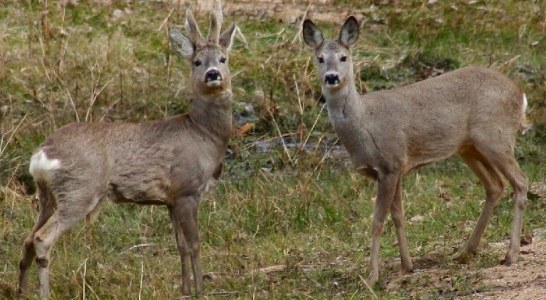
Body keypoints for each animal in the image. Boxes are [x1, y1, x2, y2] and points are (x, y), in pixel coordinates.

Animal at [17, 1, 236, 298]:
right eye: (197, 62)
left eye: (223, 59)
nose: (213, 74)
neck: (203, 135)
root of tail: (42, 154)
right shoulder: (186, 190)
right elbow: (194, 244)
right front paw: (200, 290)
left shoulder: (170, 199)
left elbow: (179, 244)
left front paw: (185, 288)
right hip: (79, 189)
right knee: (42, 238)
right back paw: (44, 293)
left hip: (47, 195)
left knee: (28, 239)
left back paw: (20, 291)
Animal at [302, 16, 528, 286]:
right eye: (320, 58)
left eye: (344, 57)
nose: (332, 77)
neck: (364, 124)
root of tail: (520, 94)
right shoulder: (397, 168)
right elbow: (398, 216)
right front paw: (406, 266)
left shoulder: (390, 164)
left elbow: (378, 221)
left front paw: (372, 276)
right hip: (469, 147)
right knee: (495, 185)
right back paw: (465, 252)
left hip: (497, 137)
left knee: (520, 182)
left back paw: (511, 254)